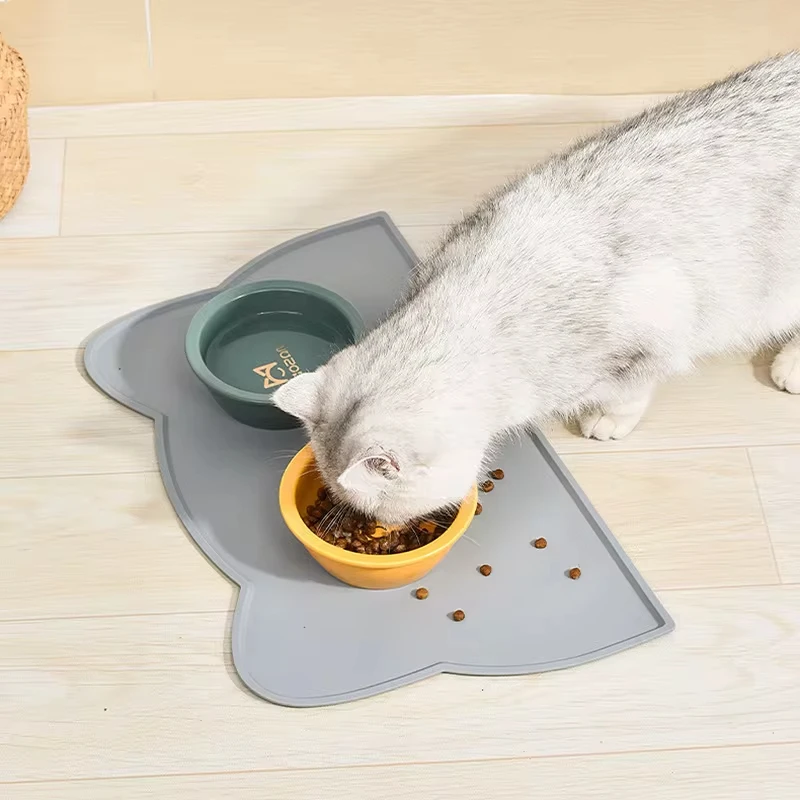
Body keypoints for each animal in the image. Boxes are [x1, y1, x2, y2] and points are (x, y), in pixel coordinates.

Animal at [276, 50, 800, 524]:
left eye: (375, 508)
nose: (382, 527)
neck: (478, 303)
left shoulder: (652, 339)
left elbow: (630, 391)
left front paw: (608, 419)